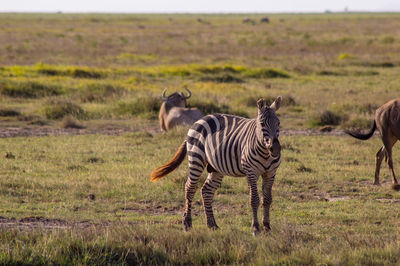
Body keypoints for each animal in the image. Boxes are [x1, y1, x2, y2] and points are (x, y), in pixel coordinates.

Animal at [150, 96, 282, 234]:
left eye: (278, 123)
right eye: (262, 124)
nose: (275, 148)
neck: (266, 153)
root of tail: (200, 120)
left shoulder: (271, 173)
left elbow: (267, 199)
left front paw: (267, 227)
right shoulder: (251, 172)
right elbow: (254, 199)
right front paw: (256, 228)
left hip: (216, 168)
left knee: (207, 191)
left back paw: (212, 225)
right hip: (196, 158)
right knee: (190, 188)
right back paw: (187, 223)